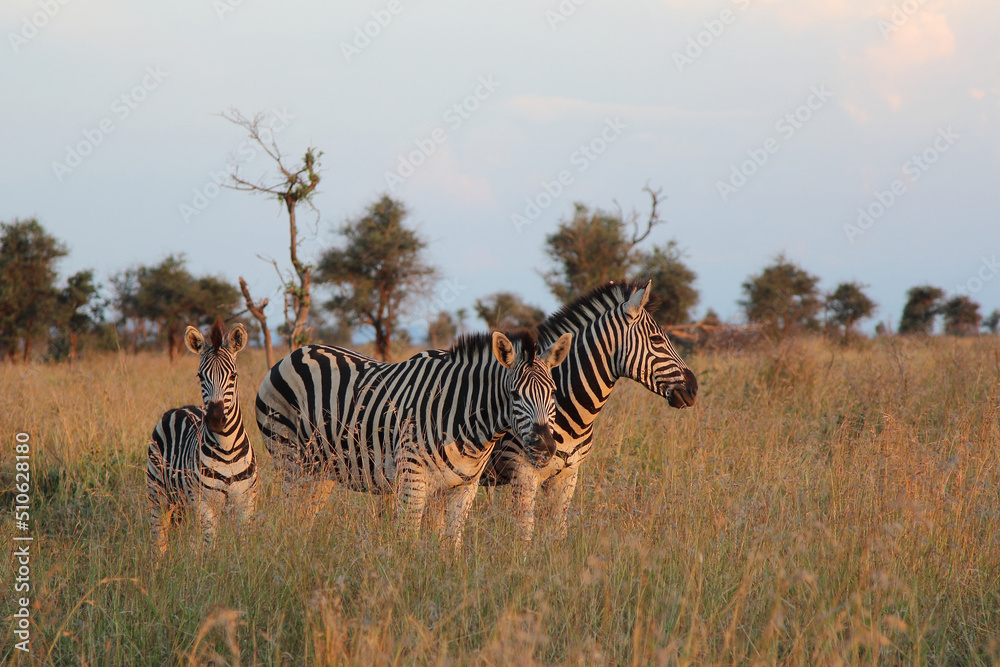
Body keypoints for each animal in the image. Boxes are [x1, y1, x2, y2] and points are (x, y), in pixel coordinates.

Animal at [146, 319, 258, 555]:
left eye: (233, 376)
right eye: (200, 376)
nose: (215, 419)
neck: (226, 448)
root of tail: (180, 408)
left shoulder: (246, 501)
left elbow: (244, 542)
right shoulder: (204, 502)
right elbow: (208, 542)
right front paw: (209, 564)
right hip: (158, 493)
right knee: (159, 535)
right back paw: (159, 562)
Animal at [254, 329, 573, 550]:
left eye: (554, 392)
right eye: (514, 394)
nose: (545, 447)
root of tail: (295, 353)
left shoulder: (466, 486)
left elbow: (452, 541)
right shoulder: (412, 478)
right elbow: (407, 536)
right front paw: (405, 581)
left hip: (321, 469)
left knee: (304, 514)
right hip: (289, 456)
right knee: (290, 510)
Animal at [482, 280, 698, 541]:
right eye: (656, 339)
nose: (694, 388)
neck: (569, 411)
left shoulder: (568, 475)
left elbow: (558, 531)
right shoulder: (523, 474)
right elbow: (524, 532)